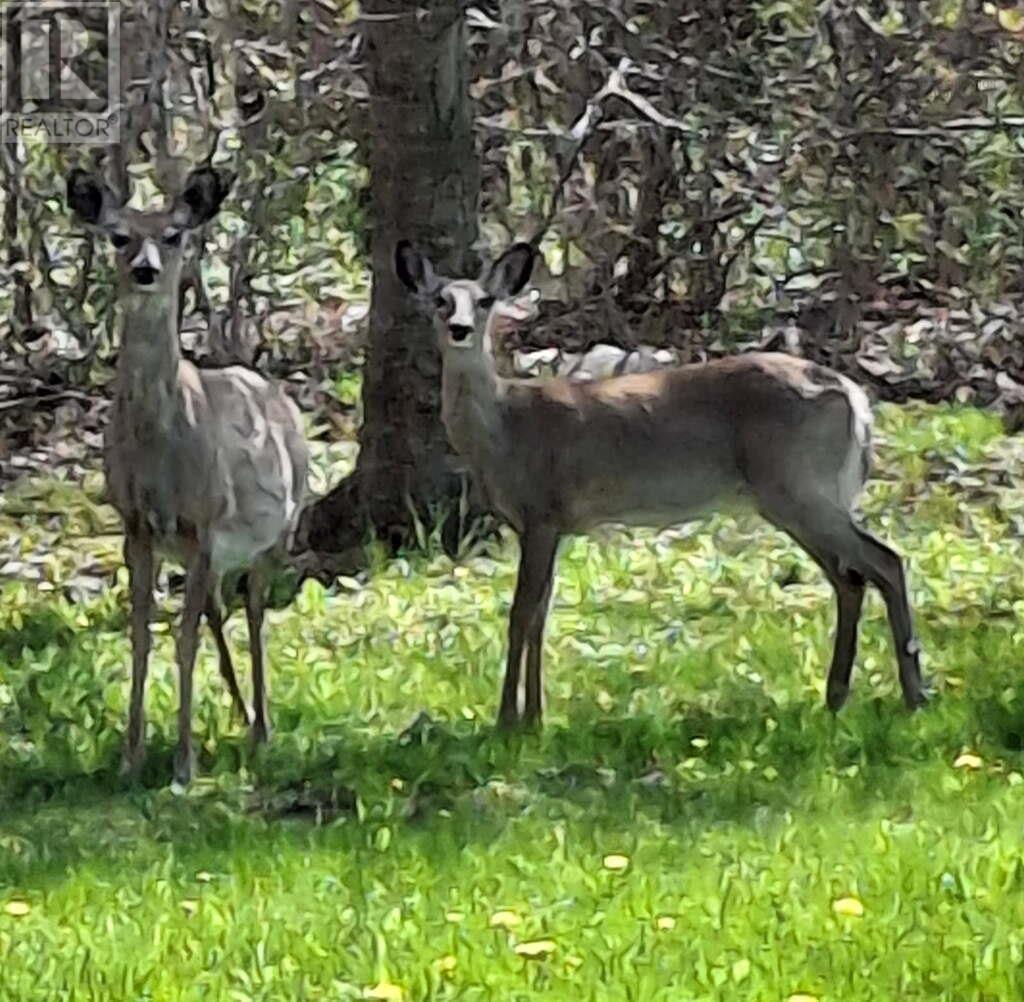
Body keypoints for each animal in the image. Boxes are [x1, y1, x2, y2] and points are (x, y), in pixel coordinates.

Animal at [66, 166, 309, 785]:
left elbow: (183, 639)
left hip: (281, 527)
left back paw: (262, 727)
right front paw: (130, 757)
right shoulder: (136, 526)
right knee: (221, 610)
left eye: (174, 235)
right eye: (118, 236)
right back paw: (242, 713)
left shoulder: (205, 523)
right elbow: (141, 638)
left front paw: (182, 763)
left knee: (253, 611)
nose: (146, 270)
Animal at [394, 239, 927, 730]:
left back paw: (913, 693)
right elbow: (541, 614)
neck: (505, 428)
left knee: (884, 560)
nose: (459, 329)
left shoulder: (542, 512)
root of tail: (857, 399)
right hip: (794, 497)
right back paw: (837, 695)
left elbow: (521, 614)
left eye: (484, 300)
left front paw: (509, 720)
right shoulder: (552, 525)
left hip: (798, 485)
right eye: (440, 299)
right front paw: (535, 716)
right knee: (850, 578)